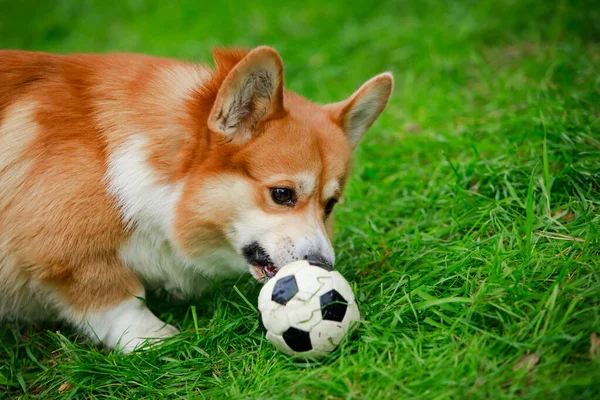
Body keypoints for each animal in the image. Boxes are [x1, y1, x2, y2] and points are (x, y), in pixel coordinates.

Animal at [0, 47, 392, 352]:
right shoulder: (63, 248)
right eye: (282, 194)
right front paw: (154, 339)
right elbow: (114, 297)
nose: (323, 265)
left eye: (330, 205)